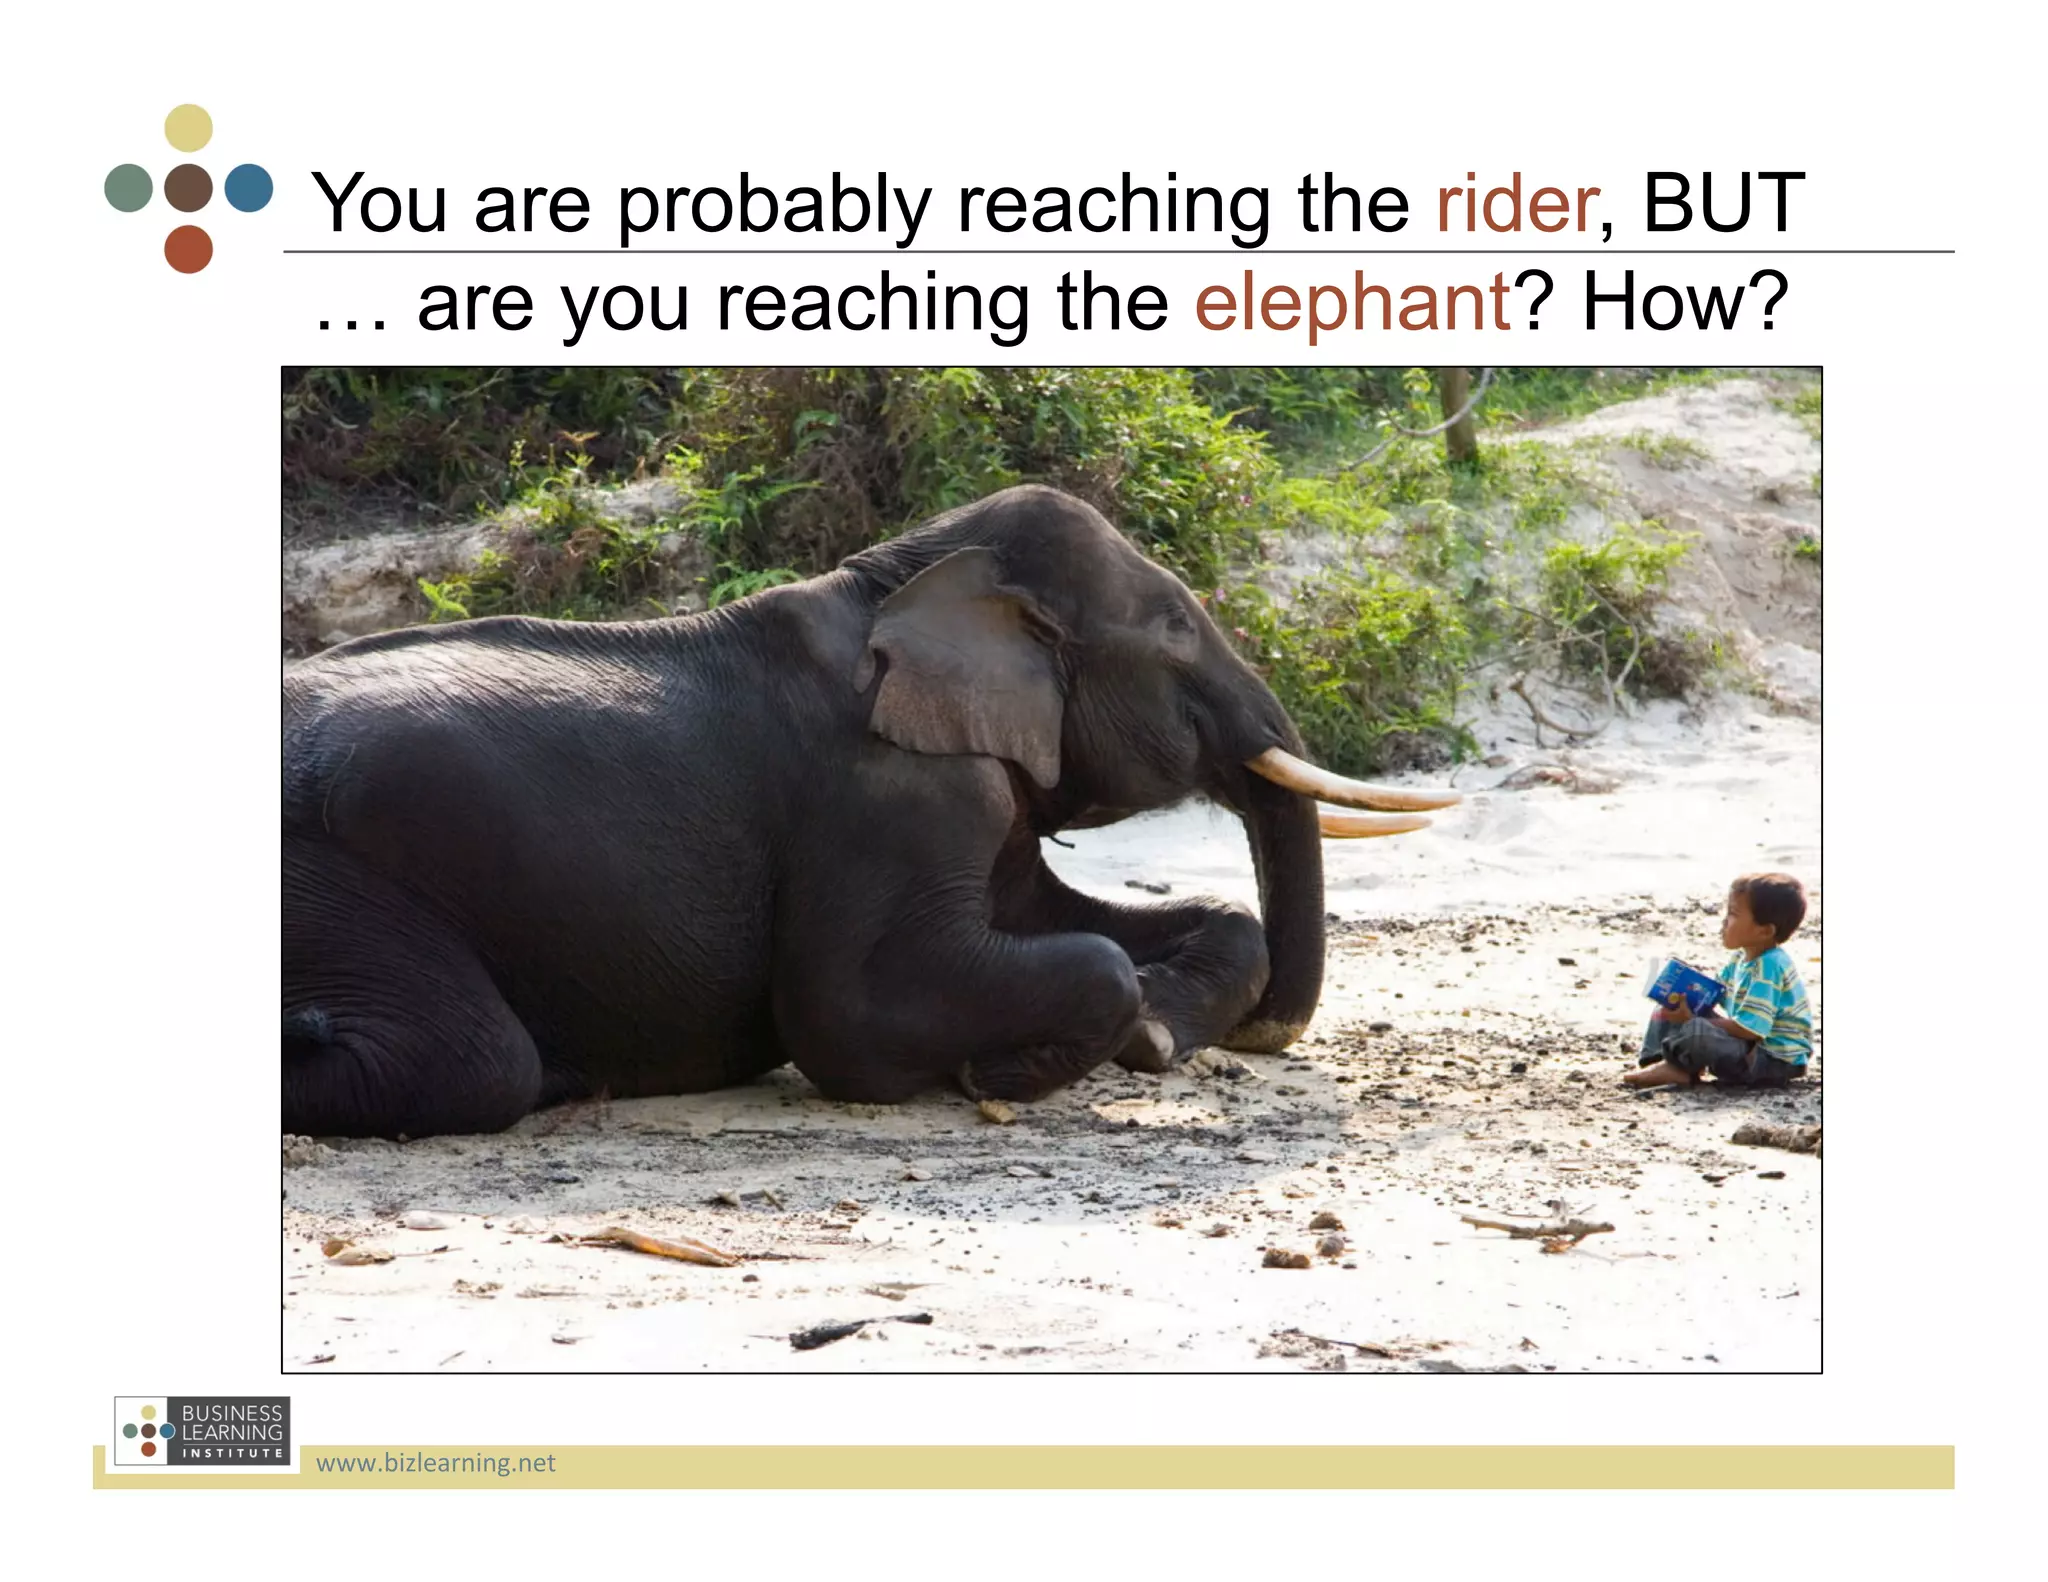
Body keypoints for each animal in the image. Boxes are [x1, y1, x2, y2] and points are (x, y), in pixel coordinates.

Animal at [283, 485, 1457, 1137]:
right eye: (1175, 630)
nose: (1256, 1041)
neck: (900, 573)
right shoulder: (883, 794)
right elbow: (845, 1015)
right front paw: (1029, 1063)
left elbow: (1085, 920)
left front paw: (1154, 1034)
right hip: (326, 874)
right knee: (474, 1062)